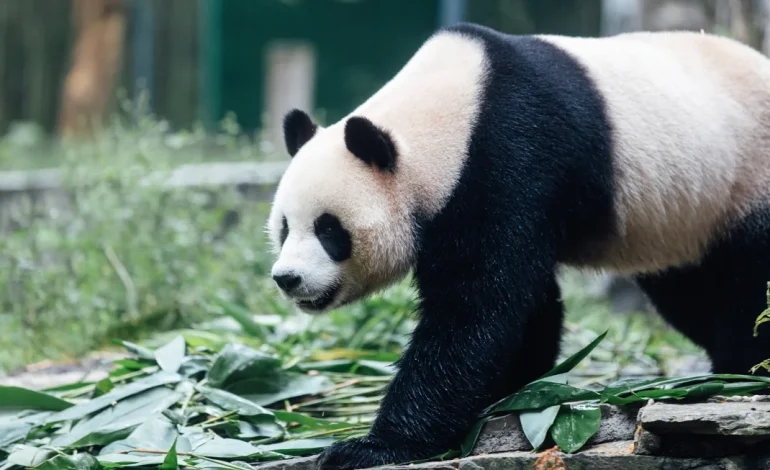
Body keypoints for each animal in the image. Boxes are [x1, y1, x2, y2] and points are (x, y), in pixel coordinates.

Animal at [268, 22, 768, 470]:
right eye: (285, 227)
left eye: (330, 230)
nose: (287, 278)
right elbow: (524, 306)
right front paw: (514, 390)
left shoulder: (511, 153)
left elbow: (476, 310)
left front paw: (369, 447)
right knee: (689, 293)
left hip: (745, 180)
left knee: (747, 289)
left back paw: (744, 369)